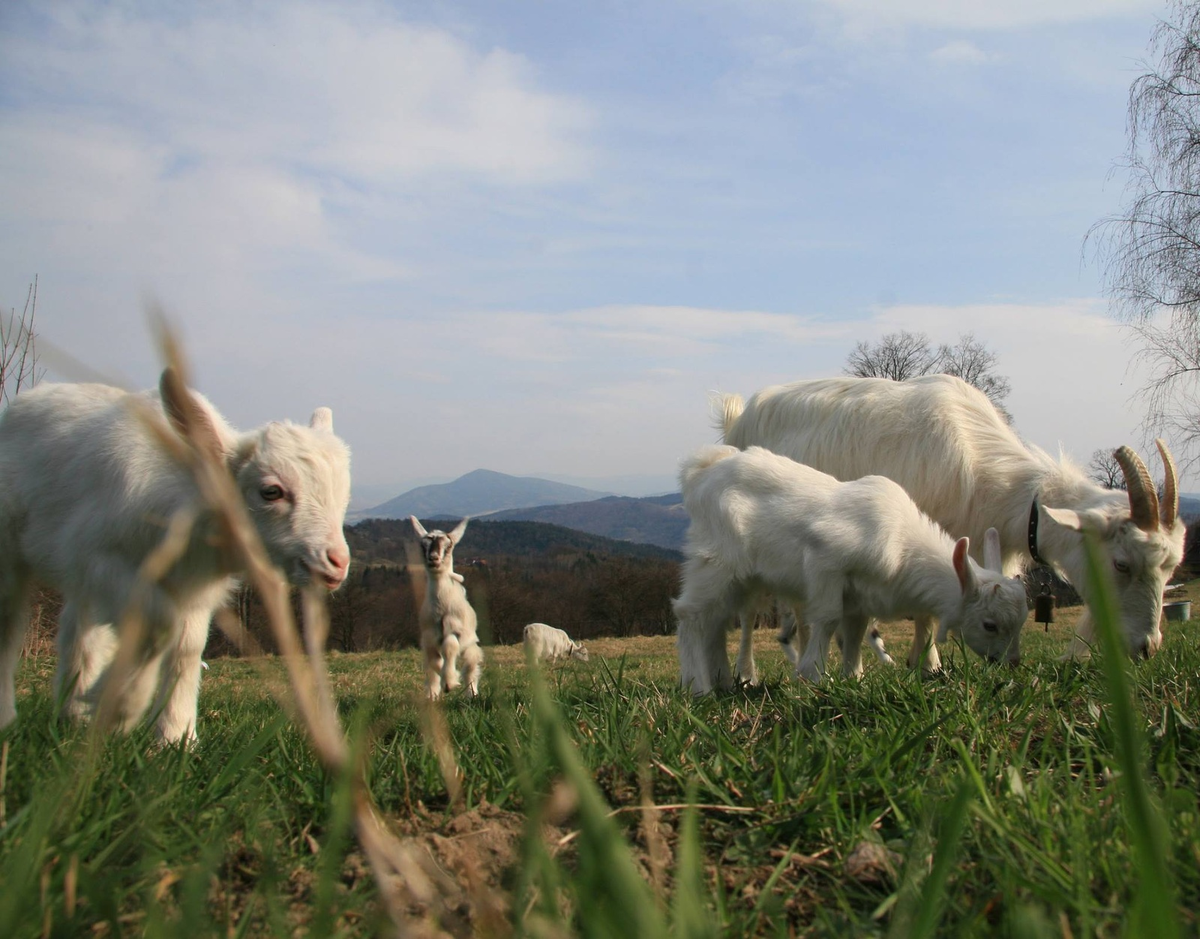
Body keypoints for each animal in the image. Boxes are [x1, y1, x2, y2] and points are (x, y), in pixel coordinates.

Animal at [0, 367, 350, 744]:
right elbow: (158, 623)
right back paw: (10, 718)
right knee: (10, 623)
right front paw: (120, 708)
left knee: (79, 630)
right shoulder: (98, 558)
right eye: (271, 491)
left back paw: (73, 715)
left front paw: (175, 737)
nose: (336, 562)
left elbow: (187, 649)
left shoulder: (194, 588)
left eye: (343, 494)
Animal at [410, 518, 480, 701]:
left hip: (470, 643)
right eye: (423, 546)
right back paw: (432, 695)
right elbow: (434, 662)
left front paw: (449, 682)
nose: (433, 558)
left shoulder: (456, 629)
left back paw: (472, 694)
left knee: (471, 666)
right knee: (430, 671)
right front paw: (445, 679)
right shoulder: (428, 636)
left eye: (449, 546)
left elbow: (450, 646)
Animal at [676, 444, 1032, 696]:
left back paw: (723, 682)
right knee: (690, 614)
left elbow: (856, 632)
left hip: (741, 580)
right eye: (989, 625)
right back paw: (699, 688)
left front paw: (854, 678)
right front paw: (814, 675)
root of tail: (702, 473)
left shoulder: (861, 597)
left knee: (716, 622)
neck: (902, 547)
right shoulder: (827, 564)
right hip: (716, 562)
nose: (1013, 663)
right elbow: (829, 619)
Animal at [715, 372, 1185, 667]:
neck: (988, 471)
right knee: (747, 611)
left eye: (1170, 568)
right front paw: (930, 665)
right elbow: (926, 609)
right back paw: (745, 673)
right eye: (1121, 563)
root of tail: (737, 419)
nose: (1149, 647)